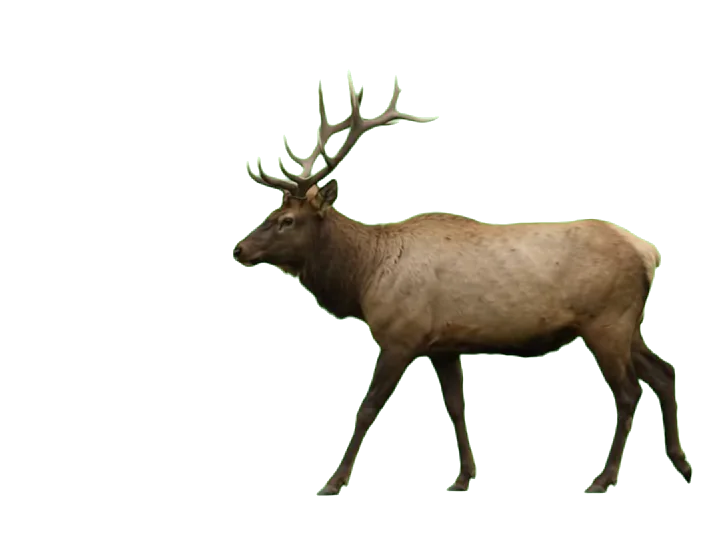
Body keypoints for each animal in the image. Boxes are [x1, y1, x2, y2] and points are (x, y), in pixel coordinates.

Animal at [233, 70, 692, 495]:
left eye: (286, 220)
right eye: (272, 213)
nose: (239, 248)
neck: (363, 279)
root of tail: (650, 253)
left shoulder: (401, 337)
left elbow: (367, 408)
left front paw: (333, 481)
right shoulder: (444, 345)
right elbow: (455, 406)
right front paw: (463, 476)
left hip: (605, 322)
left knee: (629, 392)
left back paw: (603, 479)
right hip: (629, 324)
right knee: (665, 372)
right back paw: (680, 463)